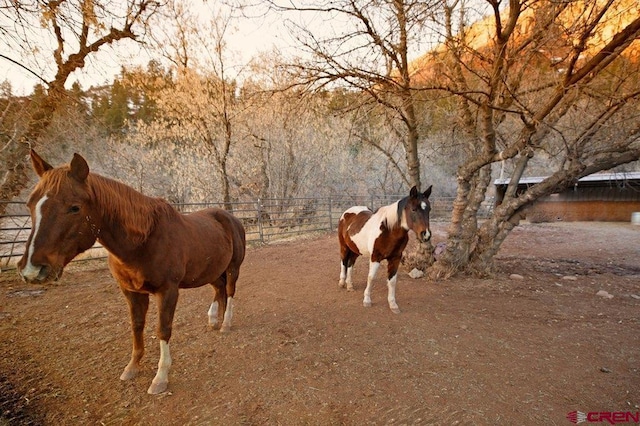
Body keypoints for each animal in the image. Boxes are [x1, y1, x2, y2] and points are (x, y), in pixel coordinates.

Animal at [16, 151, 248, 394]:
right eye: (30, 204)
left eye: (74, 207)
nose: (32, 269)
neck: (143, 240)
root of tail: (230, 218)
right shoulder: (131, 292)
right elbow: (137, 326)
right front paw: (132, 367)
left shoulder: (168, 291)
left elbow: (163, 329)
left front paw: (160, 378)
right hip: (212, 271)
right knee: (219, 290)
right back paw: (214, 320)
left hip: (233, 268)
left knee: (229, 292)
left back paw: (226, 325)